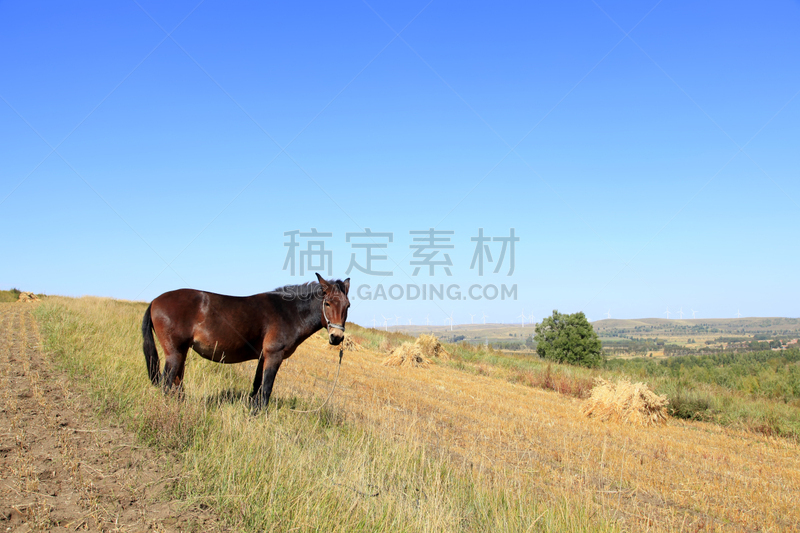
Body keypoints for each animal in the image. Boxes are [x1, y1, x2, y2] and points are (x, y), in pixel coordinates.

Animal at [140, 272, 350, 410]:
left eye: (347, 305)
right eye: (327, 303)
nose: (336, 337)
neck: (288, 312)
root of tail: (155, 301)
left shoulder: (262, 357)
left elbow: (256, 387)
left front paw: (252, 413)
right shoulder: (274, 356)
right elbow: (266, 389)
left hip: (181, 352)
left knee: (177, 383)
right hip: (174, 353)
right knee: (167, 383)